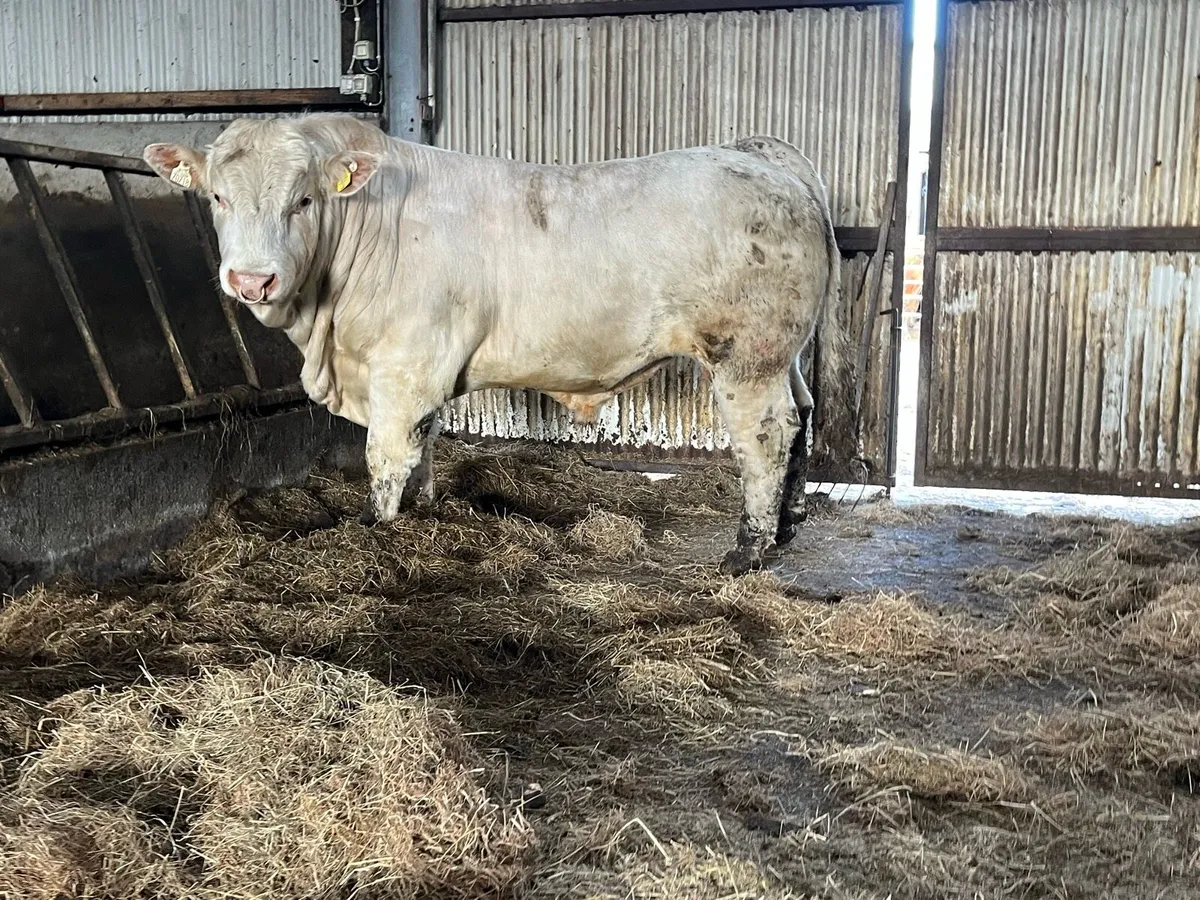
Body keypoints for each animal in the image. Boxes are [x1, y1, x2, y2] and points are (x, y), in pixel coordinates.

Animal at [144, 114, 851, 575]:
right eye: (216, 196)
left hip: (746, 356)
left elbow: (386, 458)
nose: (251, 280)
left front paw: (381, 533)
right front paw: (423, 514)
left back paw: (747, 549)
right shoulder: (421, 374)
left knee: (766, 434)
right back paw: (788, 524)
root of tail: (759, 154)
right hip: (782, 354)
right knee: (804, 412)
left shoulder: (404, 367)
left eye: (305, 200)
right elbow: (424, 449)